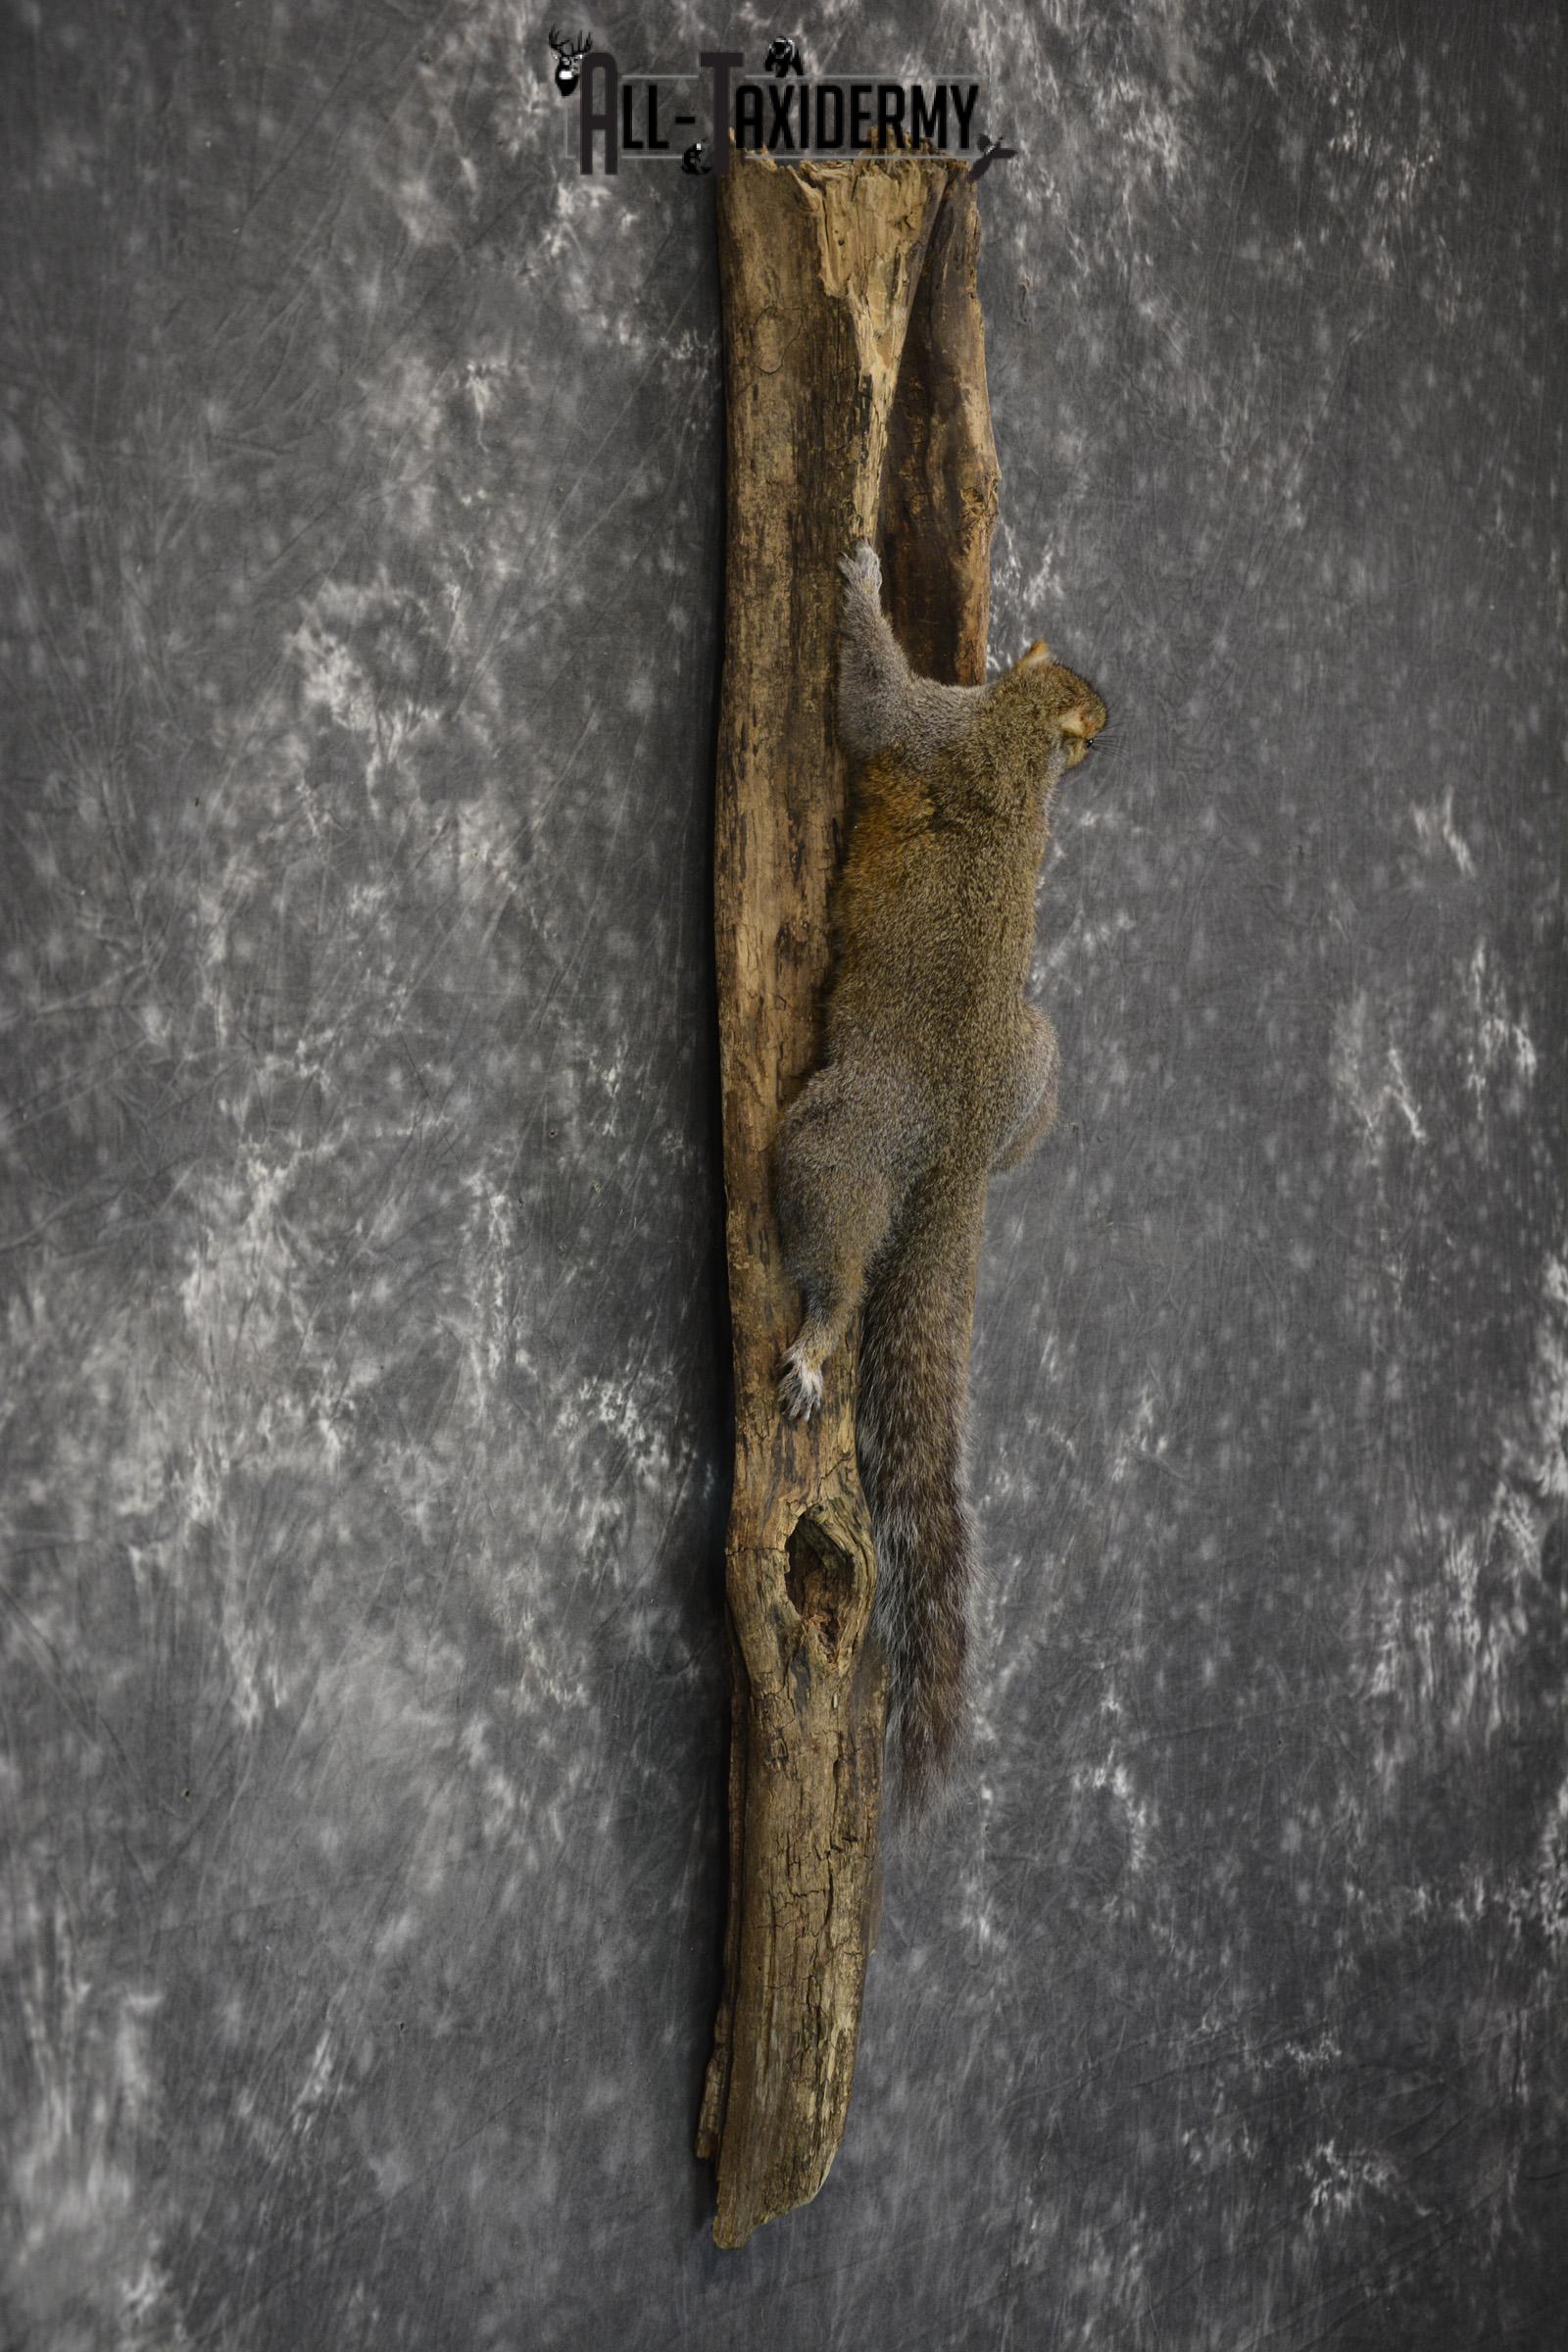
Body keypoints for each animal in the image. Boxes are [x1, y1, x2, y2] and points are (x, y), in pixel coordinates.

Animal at [775, 541, 1106, 1815]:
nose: (1025, 640)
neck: (1015, 740)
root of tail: (961, 1151)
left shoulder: (927, 726)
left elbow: (870, 699)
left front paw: (860, 584)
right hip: (1038, 1072)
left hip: (845, 1131)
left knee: (834, 1239)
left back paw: (818, 1338)